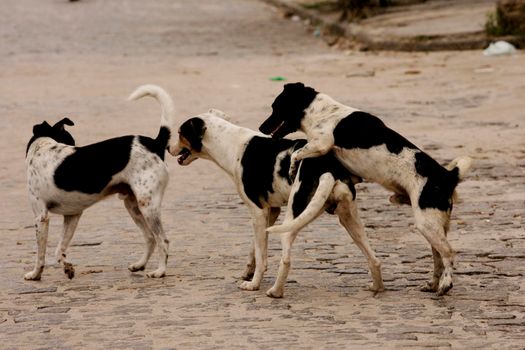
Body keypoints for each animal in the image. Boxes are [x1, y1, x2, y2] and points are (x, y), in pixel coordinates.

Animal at [25, 85, 174, 282]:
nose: (76, 147)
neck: (42, 147)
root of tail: (155, 143)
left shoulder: (41, 217)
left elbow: (40, 254)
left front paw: (35, 274)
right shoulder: (72, 215)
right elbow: (60, 249)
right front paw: (68, 268)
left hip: (147, 206)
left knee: (162, 240)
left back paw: (160, 271)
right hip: (132, 205)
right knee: (150, 238)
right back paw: (139, 265)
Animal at [169, 110, 384, 298]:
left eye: (179, 133)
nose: (167, 148)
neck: (231, 145)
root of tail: (328, 169)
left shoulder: (257, 213)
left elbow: (261, 256)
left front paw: (253, 284)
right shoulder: (270, 213)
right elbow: (255, 249)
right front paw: (248, 272)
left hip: (292, 220)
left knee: (286, 259)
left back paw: (275, 292)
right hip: (351, 221)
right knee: (374, 259)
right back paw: (377, 287)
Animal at [260, 82, 472, 296]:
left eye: (275, 107)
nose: (261, 128)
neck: (319, 111)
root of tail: (448, 176)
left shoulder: (322, 144)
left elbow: (297, 153)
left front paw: (292, 168)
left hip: (426, 223)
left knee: (448, 252)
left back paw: (445, 284)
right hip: (434, 225)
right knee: (438, 256)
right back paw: (433, 284)